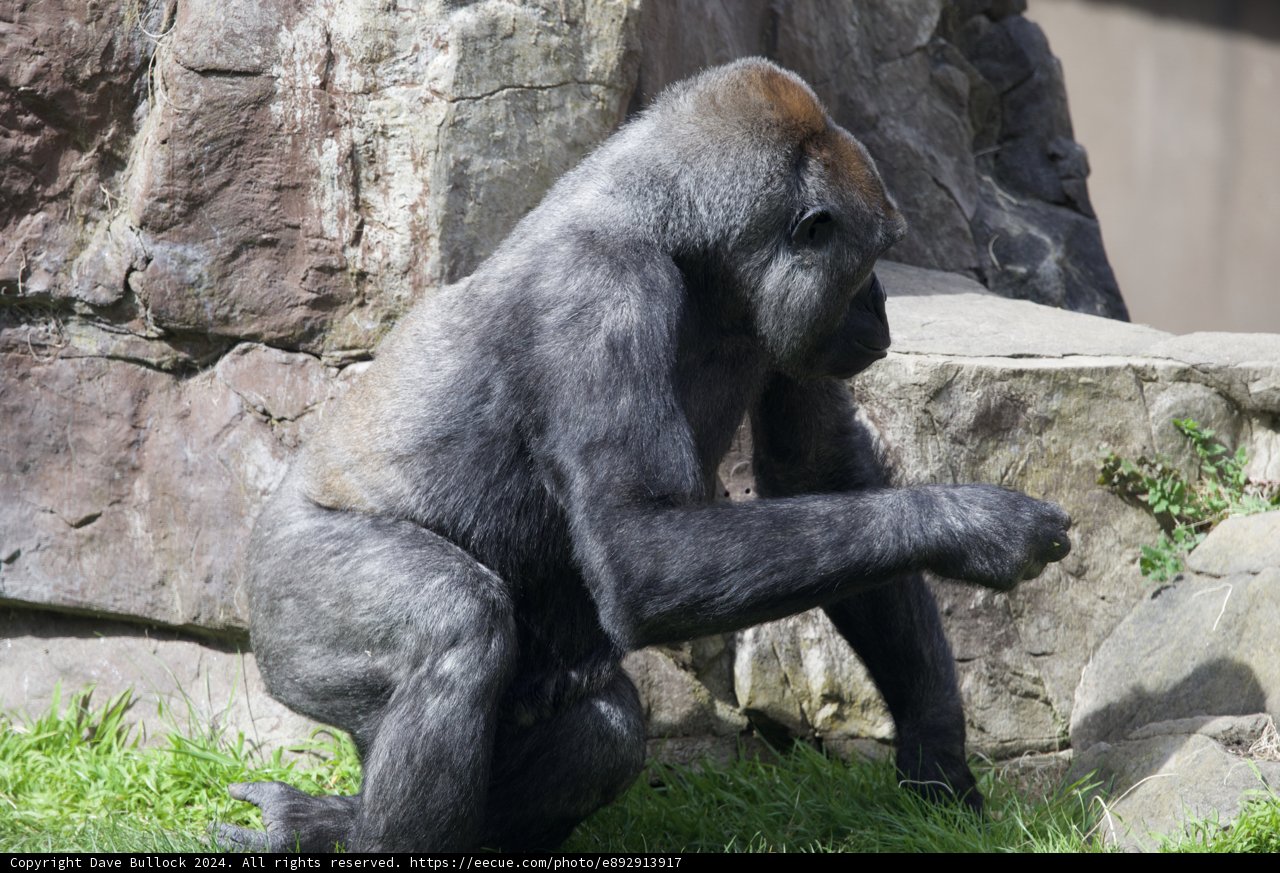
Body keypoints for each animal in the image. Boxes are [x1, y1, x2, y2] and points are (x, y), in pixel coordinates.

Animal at [218, 58, 1071, 852]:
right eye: (869, 263)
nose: (882, 307)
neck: (682, 231)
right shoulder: (601, 289)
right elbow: (641, 545)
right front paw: (976, 526)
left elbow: (823, 470)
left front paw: (937, 751)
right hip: (282, 594)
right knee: (452, 626)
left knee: (601, 727)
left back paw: (340, 822)